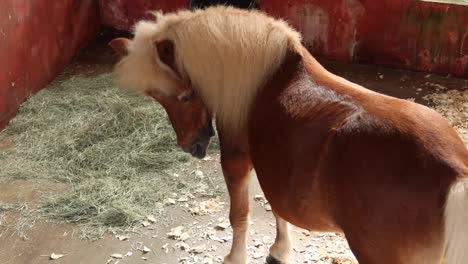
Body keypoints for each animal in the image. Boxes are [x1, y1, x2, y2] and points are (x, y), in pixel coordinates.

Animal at [110, 6, 468, 264]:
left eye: (184, 96)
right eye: (155, 97)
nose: (191, 146)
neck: (264, 78)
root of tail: (453, 172)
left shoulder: (237, 161)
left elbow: (240, 215)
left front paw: (235, 258)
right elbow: (277, 208)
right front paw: (279, 251)